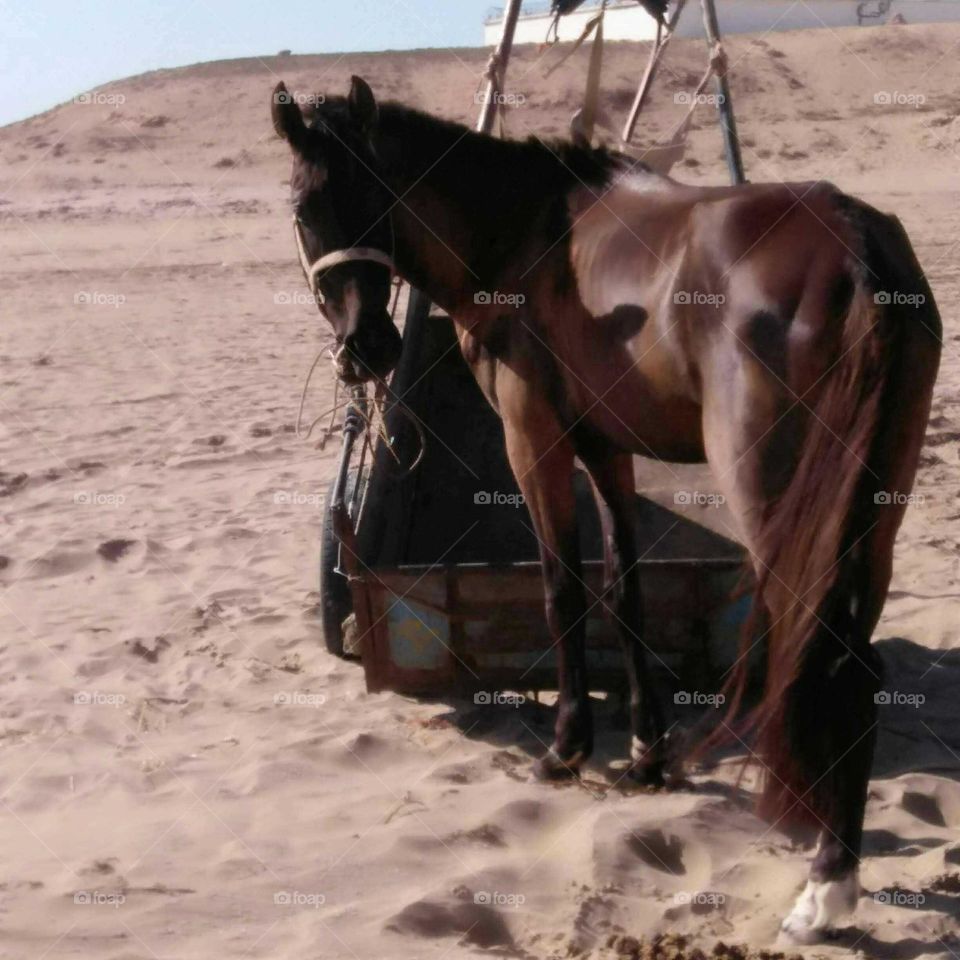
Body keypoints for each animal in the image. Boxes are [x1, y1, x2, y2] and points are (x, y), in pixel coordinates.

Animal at [270, 76, 941, 943]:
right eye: (306, 207)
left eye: (375, 197)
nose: (368, 350)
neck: (523, 234)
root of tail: (856, 242)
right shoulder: (607, 449)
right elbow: (624, 590)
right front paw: (648, 753)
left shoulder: (535, 440)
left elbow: (564, 590)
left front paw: (567, 749)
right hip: (872, 510)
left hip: (781, 503)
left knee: (830, 660)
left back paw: (825, 887)